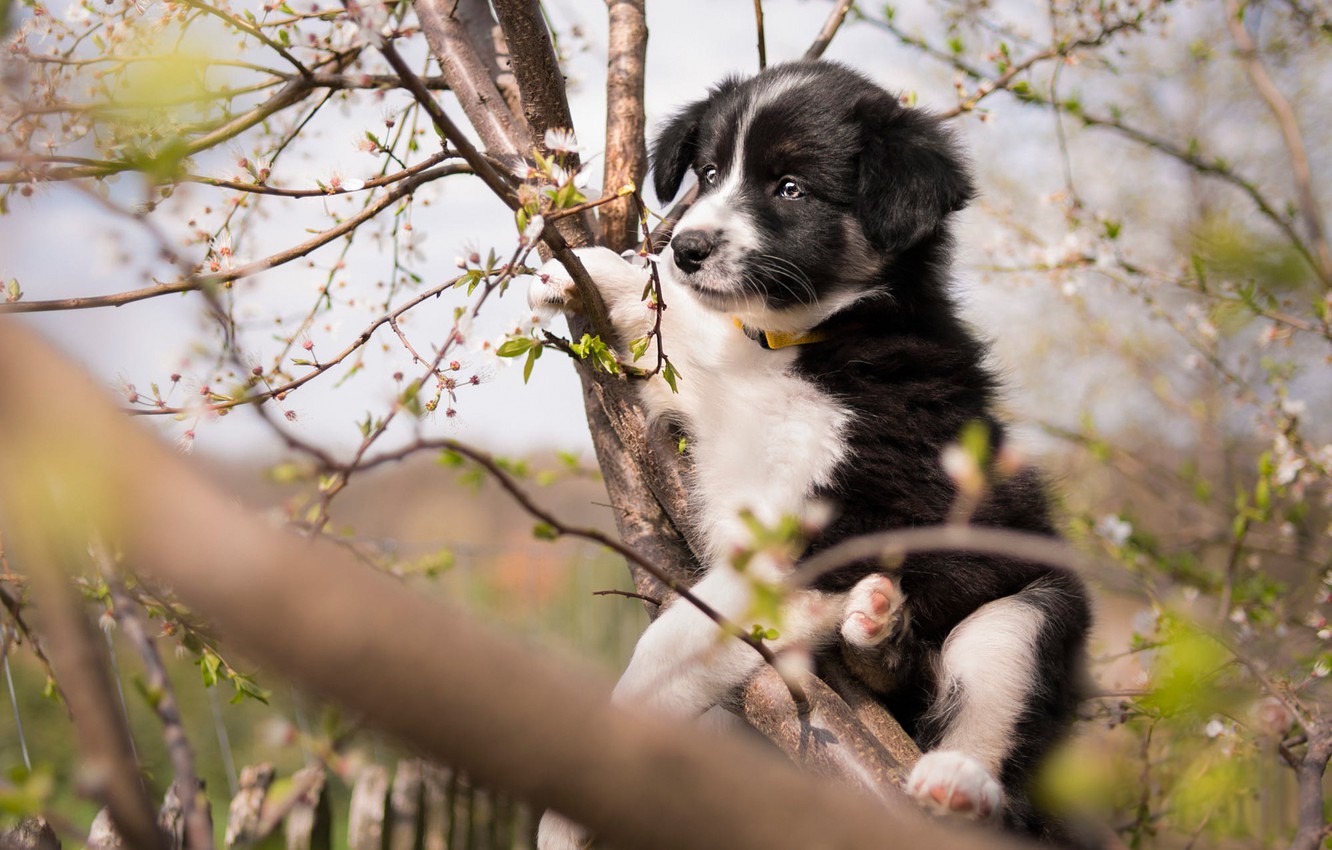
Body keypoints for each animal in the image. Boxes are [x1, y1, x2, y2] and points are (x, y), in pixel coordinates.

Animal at [530, 58, 1092, 847]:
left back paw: (957, 784)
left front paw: (570, 797)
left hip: (1026, 610)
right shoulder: (714, 391)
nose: (687, 247)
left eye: (790, 188)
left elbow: (667, 647)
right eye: (709, 172)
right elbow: (675, 324)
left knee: (997, 704)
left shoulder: (829, 532)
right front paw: (595, 270)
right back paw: (879, 629)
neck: (805, 339)